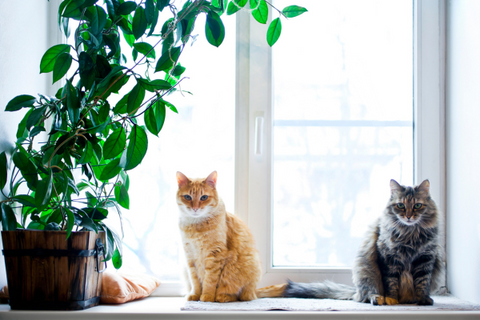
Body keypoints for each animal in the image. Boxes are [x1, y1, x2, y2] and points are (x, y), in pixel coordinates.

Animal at [175, 170, 262, 302]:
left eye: (204, 197)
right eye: (188, 197)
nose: (195, 208)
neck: (196, 226)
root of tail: (254, 292)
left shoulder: (215, 254)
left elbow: (210, 280)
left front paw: (207, 296)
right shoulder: (189, 256)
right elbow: (195, 280)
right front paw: (195, 295)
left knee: (240, 296)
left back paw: (223, 297)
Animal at [284, 179, 444, 306]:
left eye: (417, 206)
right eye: (400, 205)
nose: (409, 216)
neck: (410, 234)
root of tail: (356, 292)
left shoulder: (426, 257)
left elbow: (422, 282)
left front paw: (423, 299)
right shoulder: (388, 257)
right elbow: (391, 282)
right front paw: (392, 299)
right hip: (366, 271)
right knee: (367, 294)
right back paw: (378, 298)